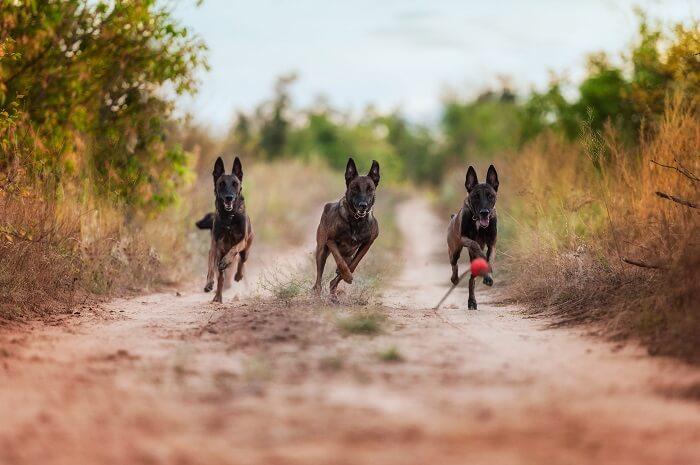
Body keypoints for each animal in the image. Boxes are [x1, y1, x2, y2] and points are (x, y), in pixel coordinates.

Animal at [194, 154, 254, 302]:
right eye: (221, 184)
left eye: (235, 184)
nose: (229, 197)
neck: (229, 217)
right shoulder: (214, 246)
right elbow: (211, 266)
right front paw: (209, 283)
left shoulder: (242, 241)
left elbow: (234, 249)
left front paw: (227, 261)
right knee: (221, 277)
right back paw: (218, 297)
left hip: (246, 250)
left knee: (241, 262)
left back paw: (237, 275)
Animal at [312, 157, 378, 298]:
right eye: (354, 188)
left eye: (370, 189)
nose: (363, 205)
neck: (356, 221)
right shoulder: (331, 240)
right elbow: (340, 262)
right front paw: (347, 276)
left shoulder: (368, 243)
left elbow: (353, 264)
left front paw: (346, 275)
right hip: (321, 249)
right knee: (319, 277)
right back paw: (318, 293)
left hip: (348, 253)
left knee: (343, 268)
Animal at [446, 163, 500, 308]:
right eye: (476, 196)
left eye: (490, 196)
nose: (484, 212)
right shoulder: (465, 239)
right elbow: (476, 245)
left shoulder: (492, 244)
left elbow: (489, 259)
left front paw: (489, 276)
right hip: (454, 250)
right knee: (454, 264)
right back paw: (455, 278)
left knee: (472, 280)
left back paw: (472, 301)